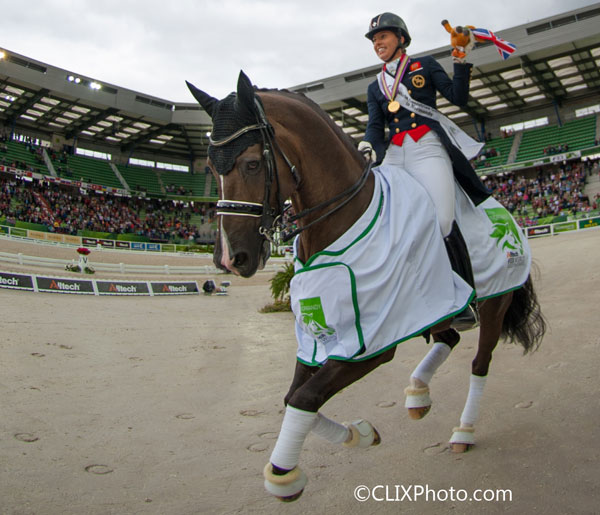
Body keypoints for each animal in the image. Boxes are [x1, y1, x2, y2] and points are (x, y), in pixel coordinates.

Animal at [189, 70, 548, 502]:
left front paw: (284, 474)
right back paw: (418, 394)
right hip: (435, 307)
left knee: (480, 363)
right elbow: (293, 397)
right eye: (210, 169)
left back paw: (463, 430)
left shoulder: (370, 345)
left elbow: (304, 397)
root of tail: (506, 213)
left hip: (495, 304)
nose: (229, 259)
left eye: (253, 163)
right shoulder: (319, 338)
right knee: (449, 337)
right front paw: (357, 434)